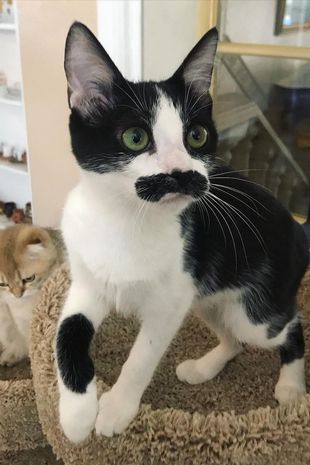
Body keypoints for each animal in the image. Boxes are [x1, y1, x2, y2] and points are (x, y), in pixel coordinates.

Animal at [56, 22, 310, 442]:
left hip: (254, 309)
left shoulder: (170, 300)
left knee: (288, 325)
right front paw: (76, 413)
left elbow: (142, 355)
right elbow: (65, 332)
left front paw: (116, 407)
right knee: (234, 337)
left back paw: (291, 386)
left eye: (196, 136)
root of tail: (298, 228)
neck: (125, 219)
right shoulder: (87, 282)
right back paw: (204, 367)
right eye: (135, 138)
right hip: (208, 296)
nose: (184, 175)